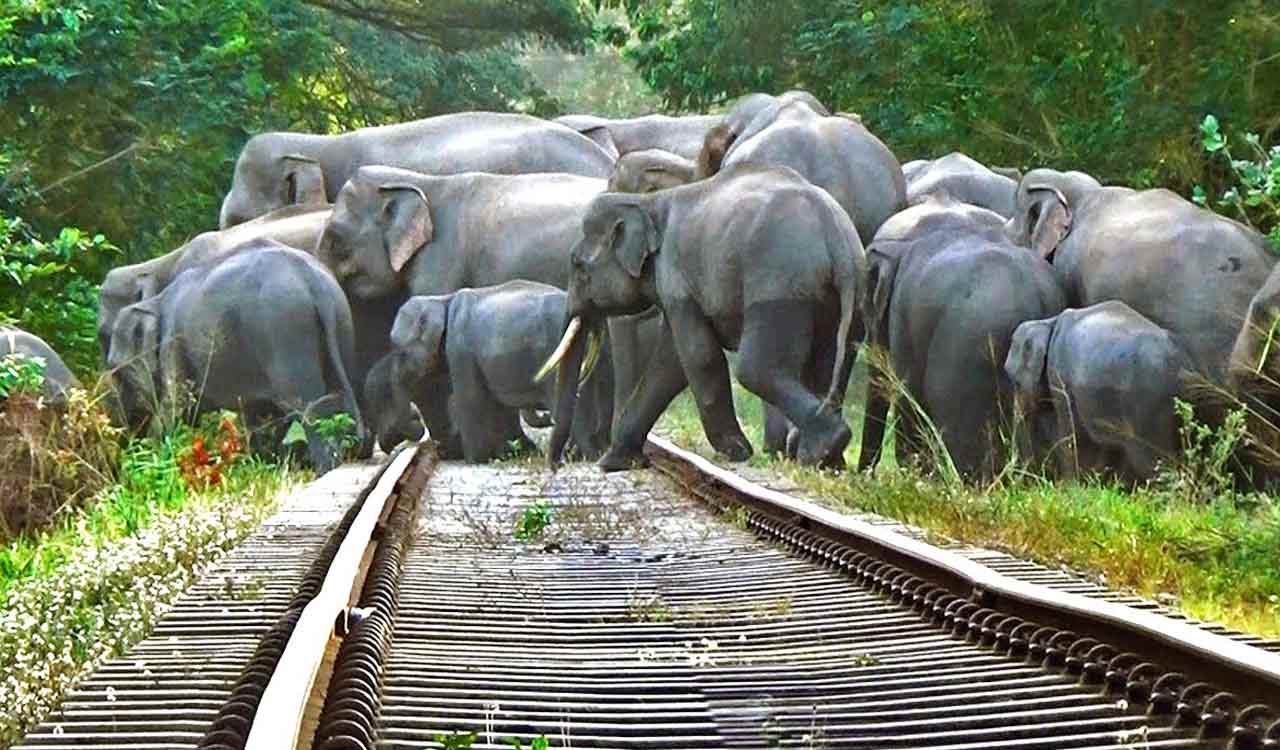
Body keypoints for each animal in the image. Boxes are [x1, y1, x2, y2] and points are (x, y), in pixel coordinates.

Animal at [106, 240, 365, 471]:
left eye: (115, 368)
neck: (155, 302)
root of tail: (312, 280)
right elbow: (255, 413)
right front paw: (264, 463)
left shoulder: (173, 342)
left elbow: (176, 405)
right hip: (340, 320)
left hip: (284, 330)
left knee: (306, 405)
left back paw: (327, 466)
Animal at [365, 281, 613, 462]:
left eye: (399, 350)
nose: (414, 424)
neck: (441, 300)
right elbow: (497, 404)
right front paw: (512, 453)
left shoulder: (460, 348)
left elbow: (471, 398)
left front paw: (475, 460)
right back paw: (585, 453)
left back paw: (584, 455)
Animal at [540, 164, 866, 472]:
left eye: (578, 265)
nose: (557, 464)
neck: (648, 203)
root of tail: (836, 233)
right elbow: (670, 363)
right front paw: (615, 462)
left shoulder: (676, 277)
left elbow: (697, 356)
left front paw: (736, 451)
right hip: (841, 300)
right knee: (828, 365)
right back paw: (826, 459)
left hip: (779, 284)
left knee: (755, 368)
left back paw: (822, 448)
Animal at [859, 197, 1066, 479]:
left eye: (864, 309)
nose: (862, 474)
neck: (901, 248)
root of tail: (1036, 298)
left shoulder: (902, 317)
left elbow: (907, 392)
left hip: (966, 356)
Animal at [1005, 301, 1191, 481]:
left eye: (1016, 383)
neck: (1047, 323)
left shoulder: (1059, 376)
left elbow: (1072, 436)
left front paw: (1070, 485)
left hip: (1146, 407)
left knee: (1153, 463)